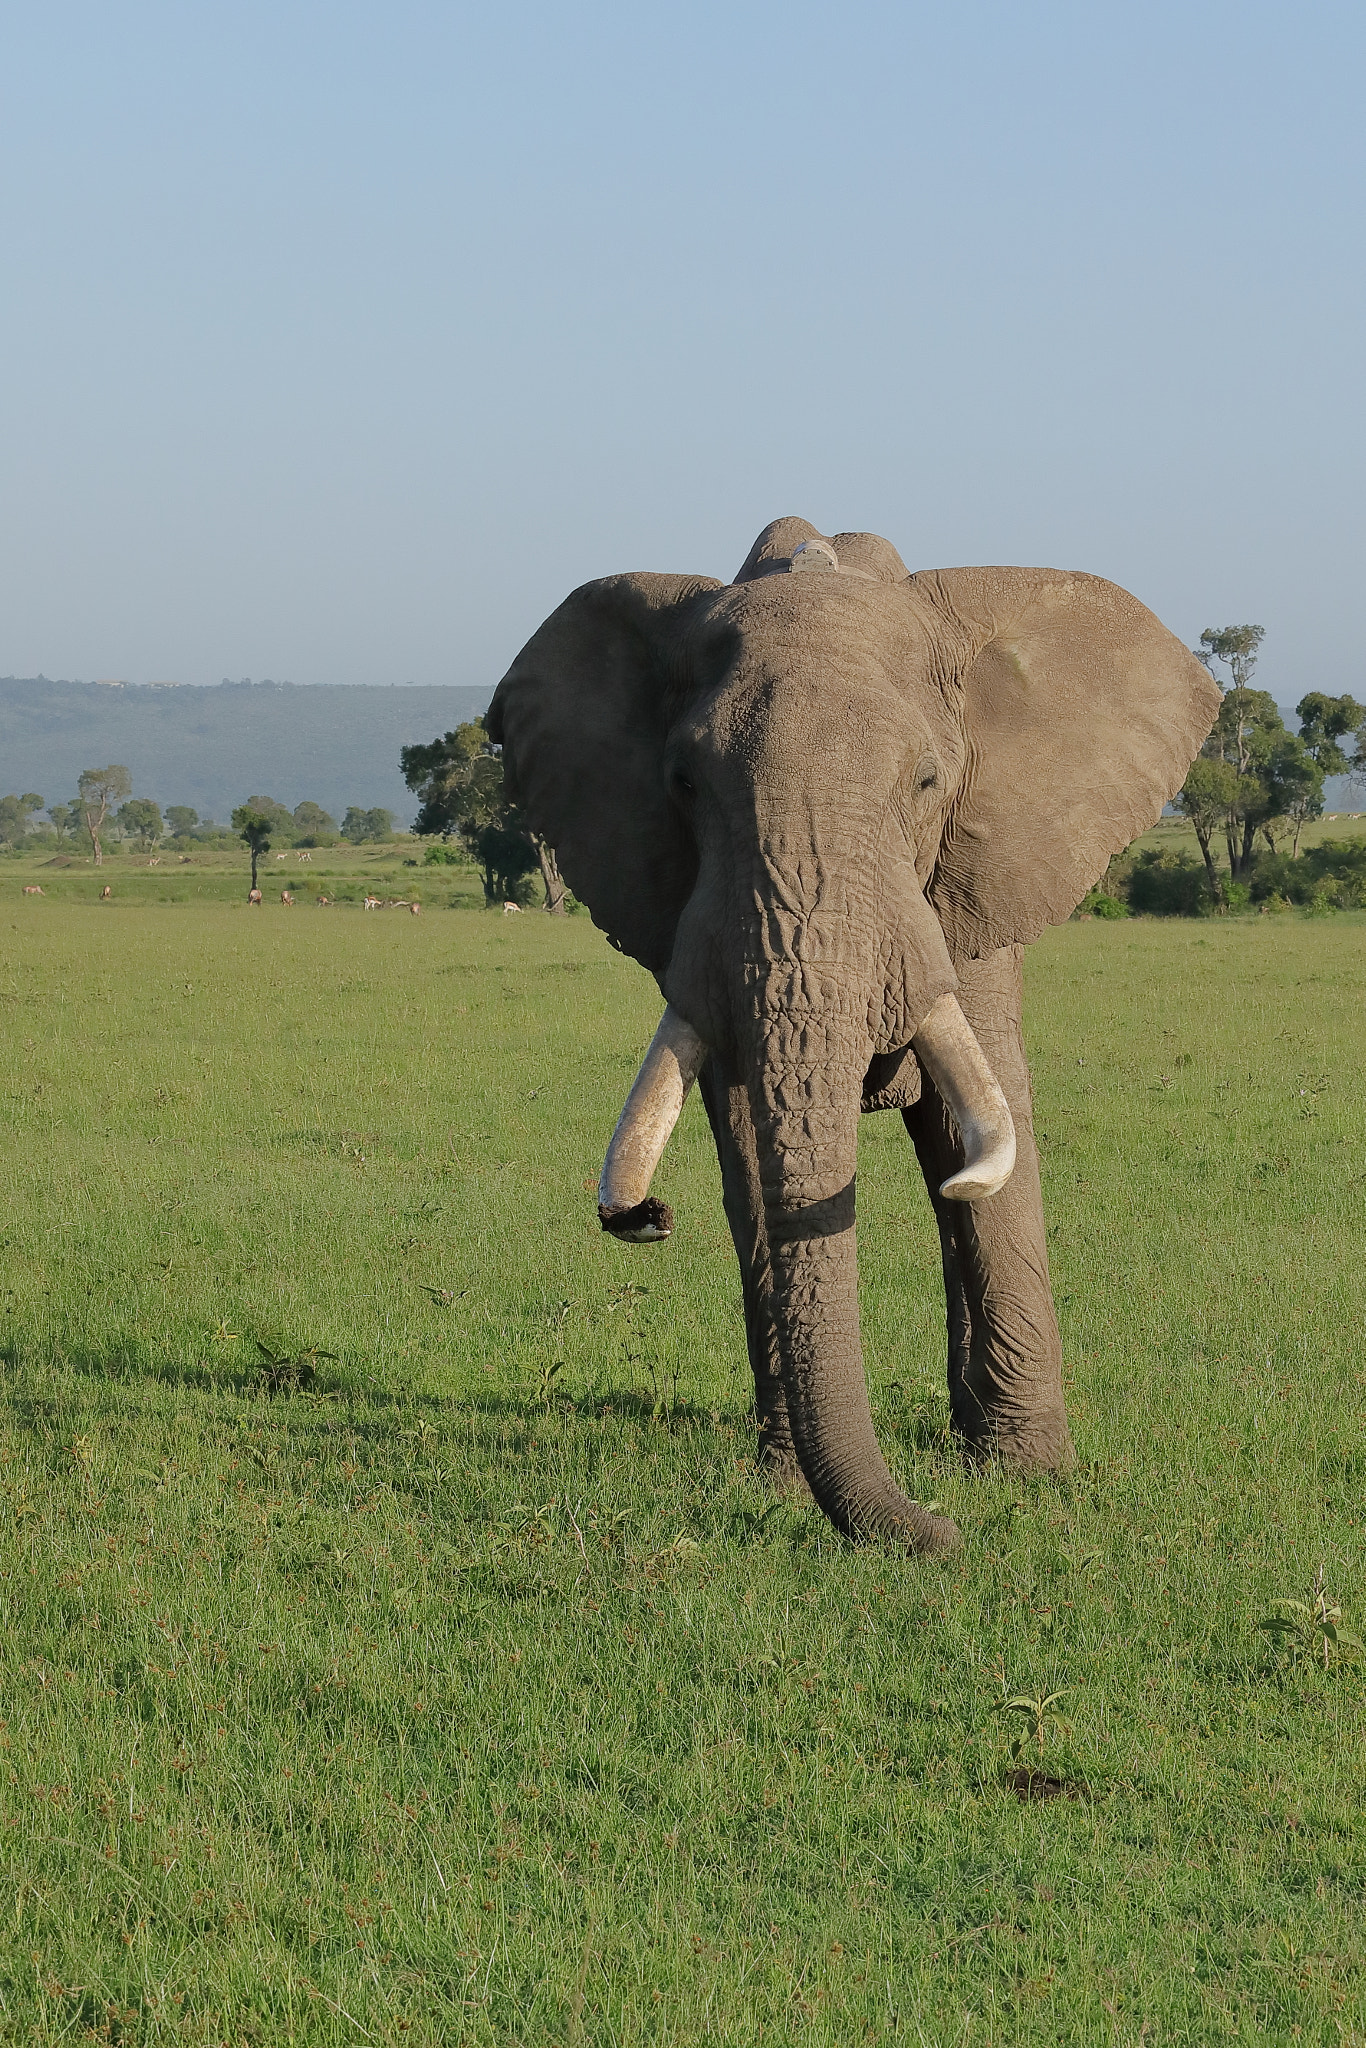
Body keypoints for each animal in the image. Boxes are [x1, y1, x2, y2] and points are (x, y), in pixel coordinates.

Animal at [487, 518, 1219, 1554]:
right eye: (682, 782)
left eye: (927, 781)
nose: (646, 1217)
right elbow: (749, 1143)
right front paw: (786, 1485)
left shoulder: (972, 876)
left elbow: (981, 1131)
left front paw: (1027, 1477)